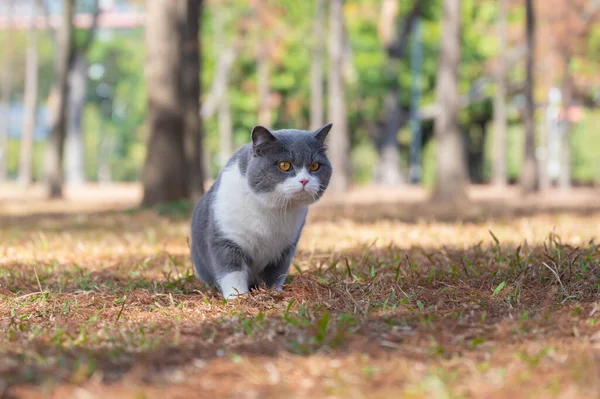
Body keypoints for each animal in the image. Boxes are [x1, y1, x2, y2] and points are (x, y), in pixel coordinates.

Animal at [190, 123, 332, 298]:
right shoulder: (225, 238)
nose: (304, 180)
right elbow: (232, 271)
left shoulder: (285, 248)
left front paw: (273, 292)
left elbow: (275, 274)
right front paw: (238, 297)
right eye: (284, 165)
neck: (271, 209)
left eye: (315, 166)